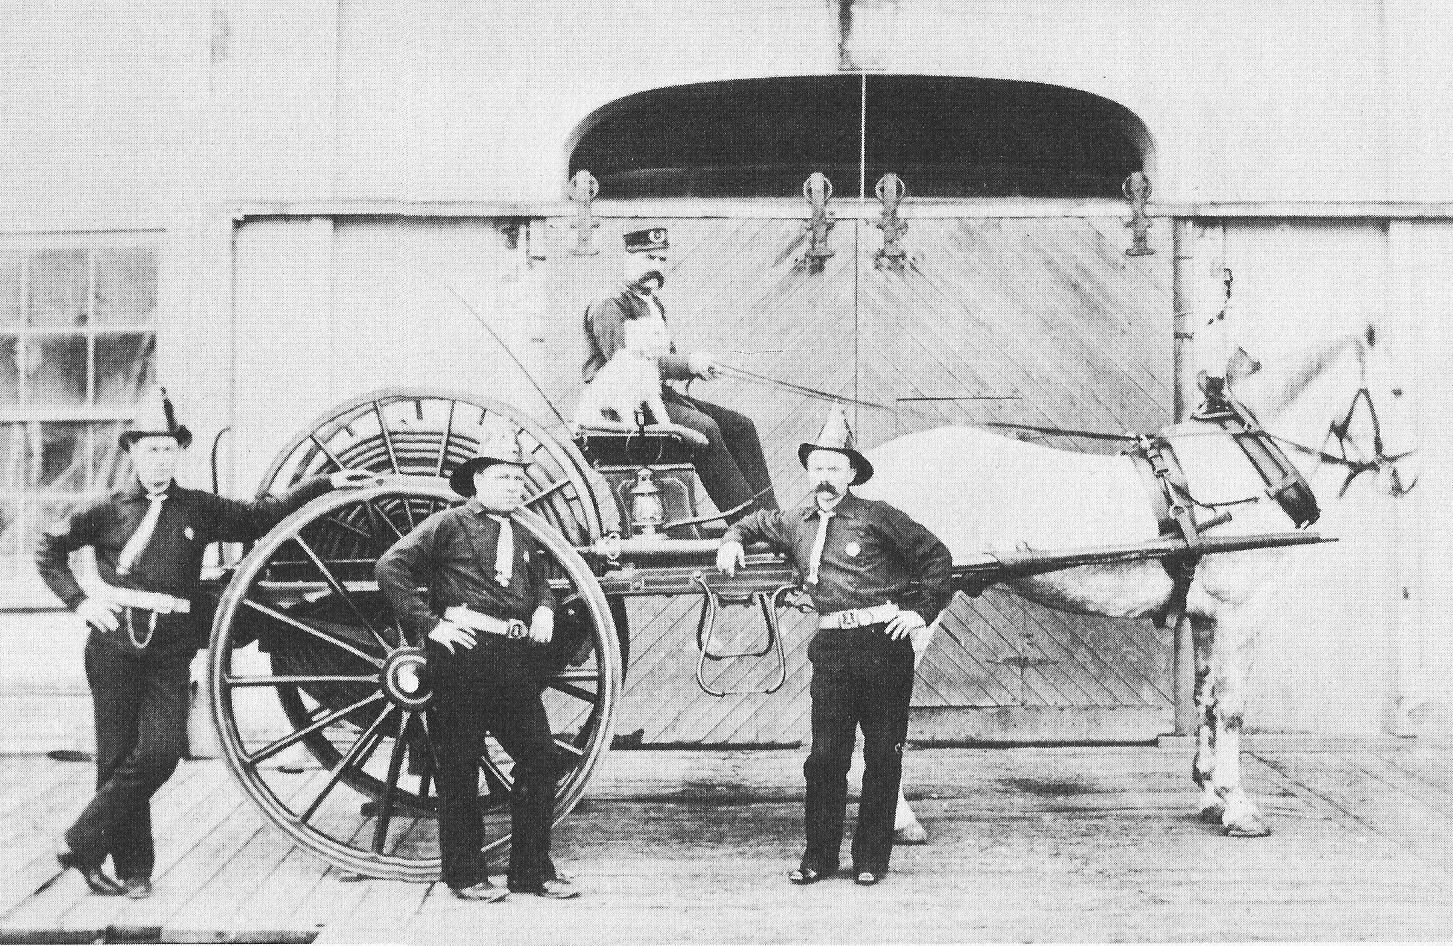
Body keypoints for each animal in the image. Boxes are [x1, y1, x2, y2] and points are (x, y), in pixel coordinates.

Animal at [854, 322, 1412, 842]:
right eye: (1398, 390)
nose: (1408, 477)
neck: (1240, 464)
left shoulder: (1208, 617)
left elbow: (1206, 701)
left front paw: (1211, 796)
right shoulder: (1241, 614)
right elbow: (1232, 708)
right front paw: (1240, 809)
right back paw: (900, 822)